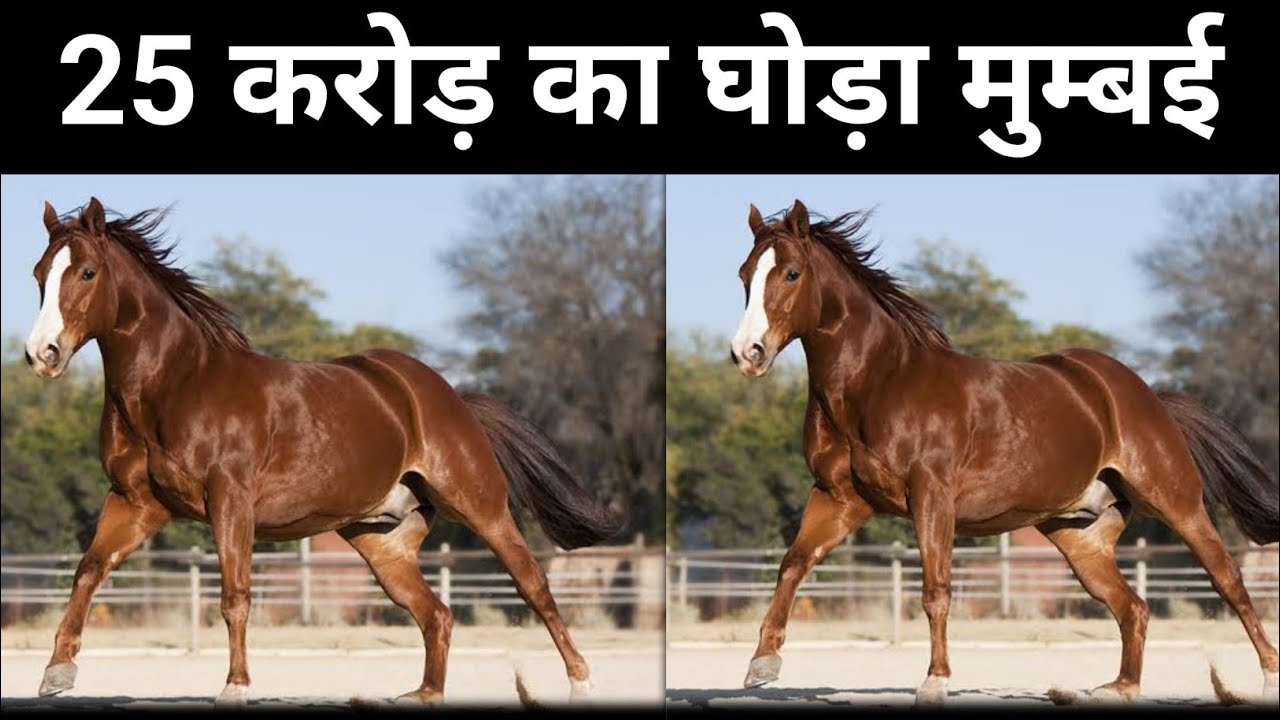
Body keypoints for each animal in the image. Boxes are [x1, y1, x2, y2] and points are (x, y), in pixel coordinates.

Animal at [23, 198, 623, 706]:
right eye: (38, 274)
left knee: (533, 585)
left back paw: (581, 683)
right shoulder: (135, 503)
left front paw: (235, 687)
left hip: (482, 506)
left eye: (86, 272)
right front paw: (57, 673)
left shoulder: (229, 502)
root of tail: (446, 396)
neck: (176, 385)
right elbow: (89, 570)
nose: (41, 354)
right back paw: (421, 694)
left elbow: (235, 594)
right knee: (437, 615)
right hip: (381, 543)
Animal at [728, 200, 1279, 705]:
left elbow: (936, 589)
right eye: (744, 274)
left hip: (1176, 502)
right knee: (1133, 608)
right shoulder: (839, 497)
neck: (878, 384)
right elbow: (794, 563)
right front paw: (762, 664)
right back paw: (1118, 687)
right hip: (1079, 537)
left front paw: (935, 681)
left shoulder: (930, 497)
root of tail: (1142, 394)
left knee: (1229, 582)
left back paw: (1267, 679)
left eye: (792, 273)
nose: (747, 353)